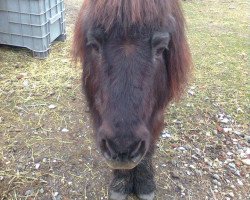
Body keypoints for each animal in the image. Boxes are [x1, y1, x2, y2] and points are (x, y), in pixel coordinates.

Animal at [72, 0, 191, 199]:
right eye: (94, 45)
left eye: (161, 48)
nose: (122, 147)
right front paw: (121, 183)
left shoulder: (157, 113)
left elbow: (149, 146)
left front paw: (145, 183)